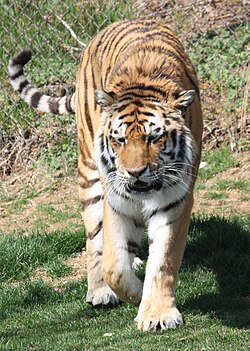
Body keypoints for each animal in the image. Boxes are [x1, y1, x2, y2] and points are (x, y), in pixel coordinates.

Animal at [8, 20, 202, 332]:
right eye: (119, 140)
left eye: (153, 138)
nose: (135, 173)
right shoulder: (117, 199)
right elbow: (113, 265)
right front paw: (135, 293)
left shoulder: (175, 200)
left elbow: (163, 263)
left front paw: (157, 313)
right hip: (89, 174)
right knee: (94, 241)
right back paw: (99, 292)